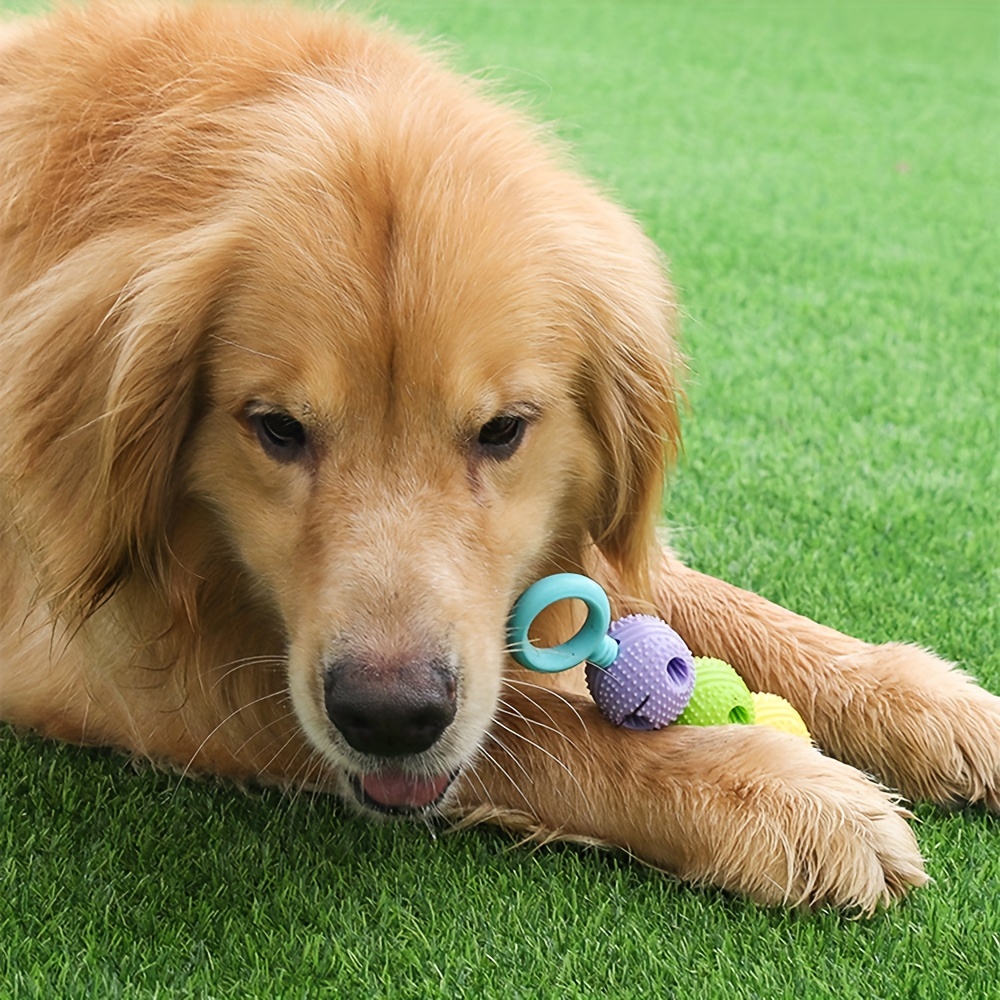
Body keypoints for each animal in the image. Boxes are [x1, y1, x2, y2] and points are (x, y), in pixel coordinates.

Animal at [1, 0, 1000, 912]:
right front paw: (775, 792)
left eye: (503, 431)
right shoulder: (113, 661)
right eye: (277, 428)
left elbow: (734, 610)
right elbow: (538, 727)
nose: (390, 716)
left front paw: (932, 706)